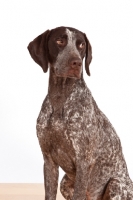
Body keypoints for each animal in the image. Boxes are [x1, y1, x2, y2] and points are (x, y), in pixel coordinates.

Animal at [27, 26, 133, 200]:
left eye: (81, 45)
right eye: (59, 40)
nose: (76, 62)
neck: (60, 98)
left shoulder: (83, 161)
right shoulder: (49, 161)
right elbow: (49, 194)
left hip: (116, 184)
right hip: (64, 182)